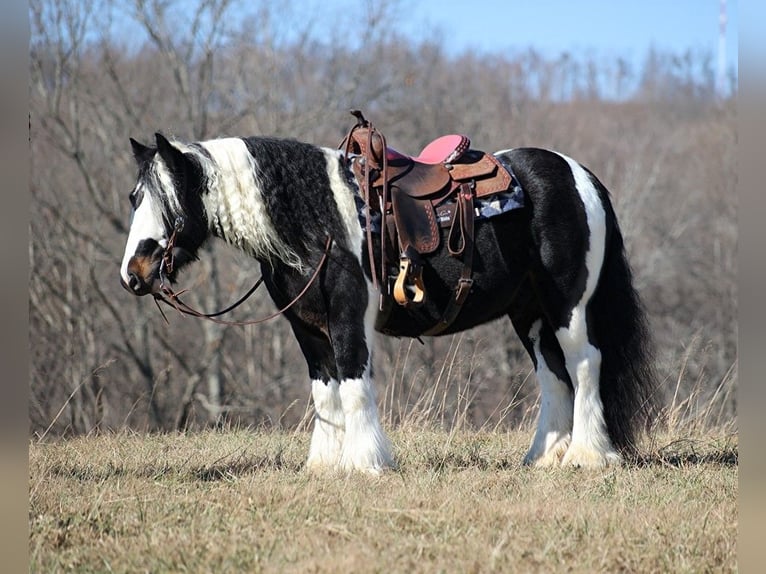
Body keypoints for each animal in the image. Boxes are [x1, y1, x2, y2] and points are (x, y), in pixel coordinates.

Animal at [121, 119, 660, 474]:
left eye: (168, 200)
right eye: (134, 197)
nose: (133, 273)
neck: (317, 217)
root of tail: (578, 174)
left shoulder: (347, 318)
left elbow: (354, 386)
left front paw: (365, 463)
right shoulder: (307, 328)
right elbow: (325, 391)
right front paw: (324, 466)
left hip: (569, 304)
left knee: (585, 364)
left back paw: (589, 456)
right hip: (529, 312)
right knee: (552, 374)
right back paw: (544, 458)